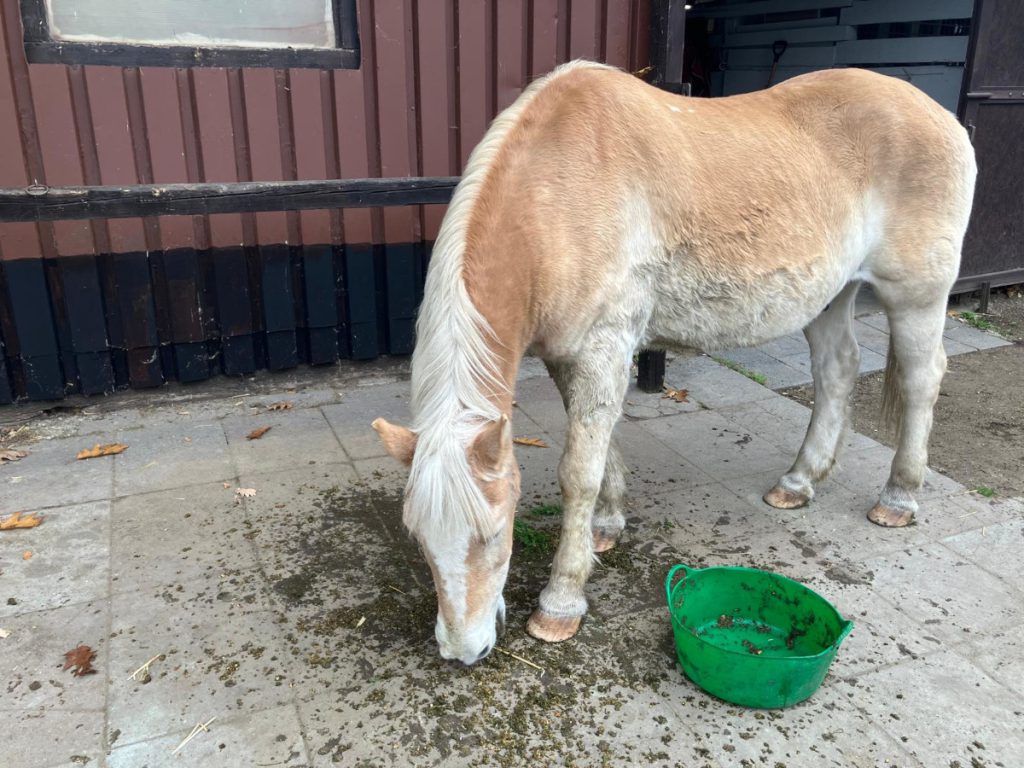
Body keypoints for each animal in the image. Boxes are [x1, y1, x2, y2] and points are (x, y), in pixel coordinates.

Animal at [372, 60, 977, 665]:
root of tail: (941, 117)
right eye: (419, 538)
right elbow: (599, 451)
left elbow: (578, 472)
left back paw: (899, 497)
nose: (463, 649)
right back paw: (799, 482)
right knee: (838, 370)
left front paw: (560, 603)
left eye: (496, 533)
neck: (557, 193)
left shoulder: (604, 348)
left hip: (916, 296)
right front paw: (606, 525)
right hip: (832, 295)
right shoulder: (571, 355)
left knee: (922, 380)